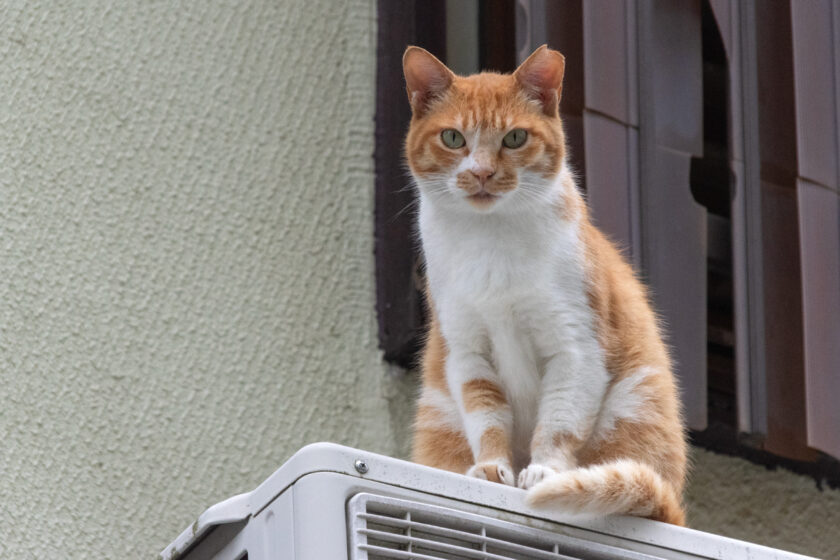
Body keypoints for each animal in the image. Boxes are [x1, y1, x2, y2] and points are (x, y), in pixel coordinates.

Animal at [404, 43, 684, 524]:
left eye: (515, 138)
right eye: (453, 138)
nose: (481, 173)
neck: (490, 242)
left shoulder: (576, 345)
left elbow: (558, 421)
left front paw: (544, 471)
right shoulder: (467, 351)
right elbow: (487, 417)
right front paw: (492, 468)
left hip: (635, 404)